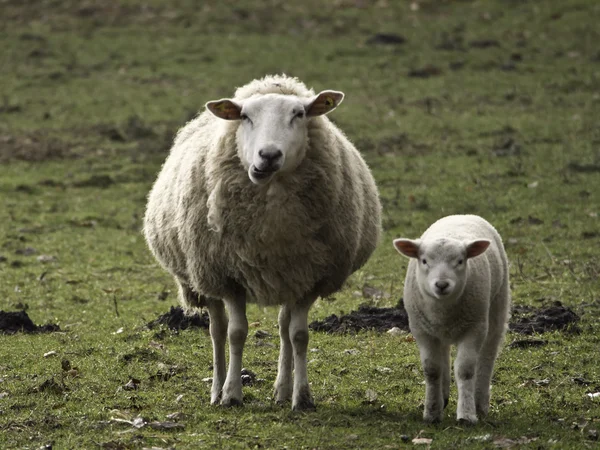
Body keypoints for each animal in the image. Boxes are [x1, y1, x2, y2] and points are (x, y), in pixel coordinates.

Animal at [143, 74, 382, 412]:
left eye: (299, 114)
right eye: (245, 116)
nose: (268, 156)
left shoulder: (309, 277)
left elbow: (299, 335)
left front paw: (302, 396)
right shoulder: (229, 276)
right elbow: (236, 333)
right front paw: (231, 394)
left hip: (286, 277)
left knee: (283, 327)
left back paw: (281, 390)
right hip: (204, 274)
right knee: (217, 330)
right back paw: (216, 389)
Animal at [394, 216, 510, 424]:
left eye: (460, 261)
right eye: (424, 261)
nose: (441, 284)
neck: (443, 308)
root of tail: (462, 215)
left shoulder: (475, 328)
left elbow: (465, 370)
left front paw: (467, 414)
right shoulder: (422, 330)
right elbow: (432, 370)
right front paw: (432, 412)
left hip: (498, 305)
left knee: (488, 356)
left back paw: (480, 403)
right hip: (439, 330)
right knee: (443, 354)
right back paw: (444, 397)